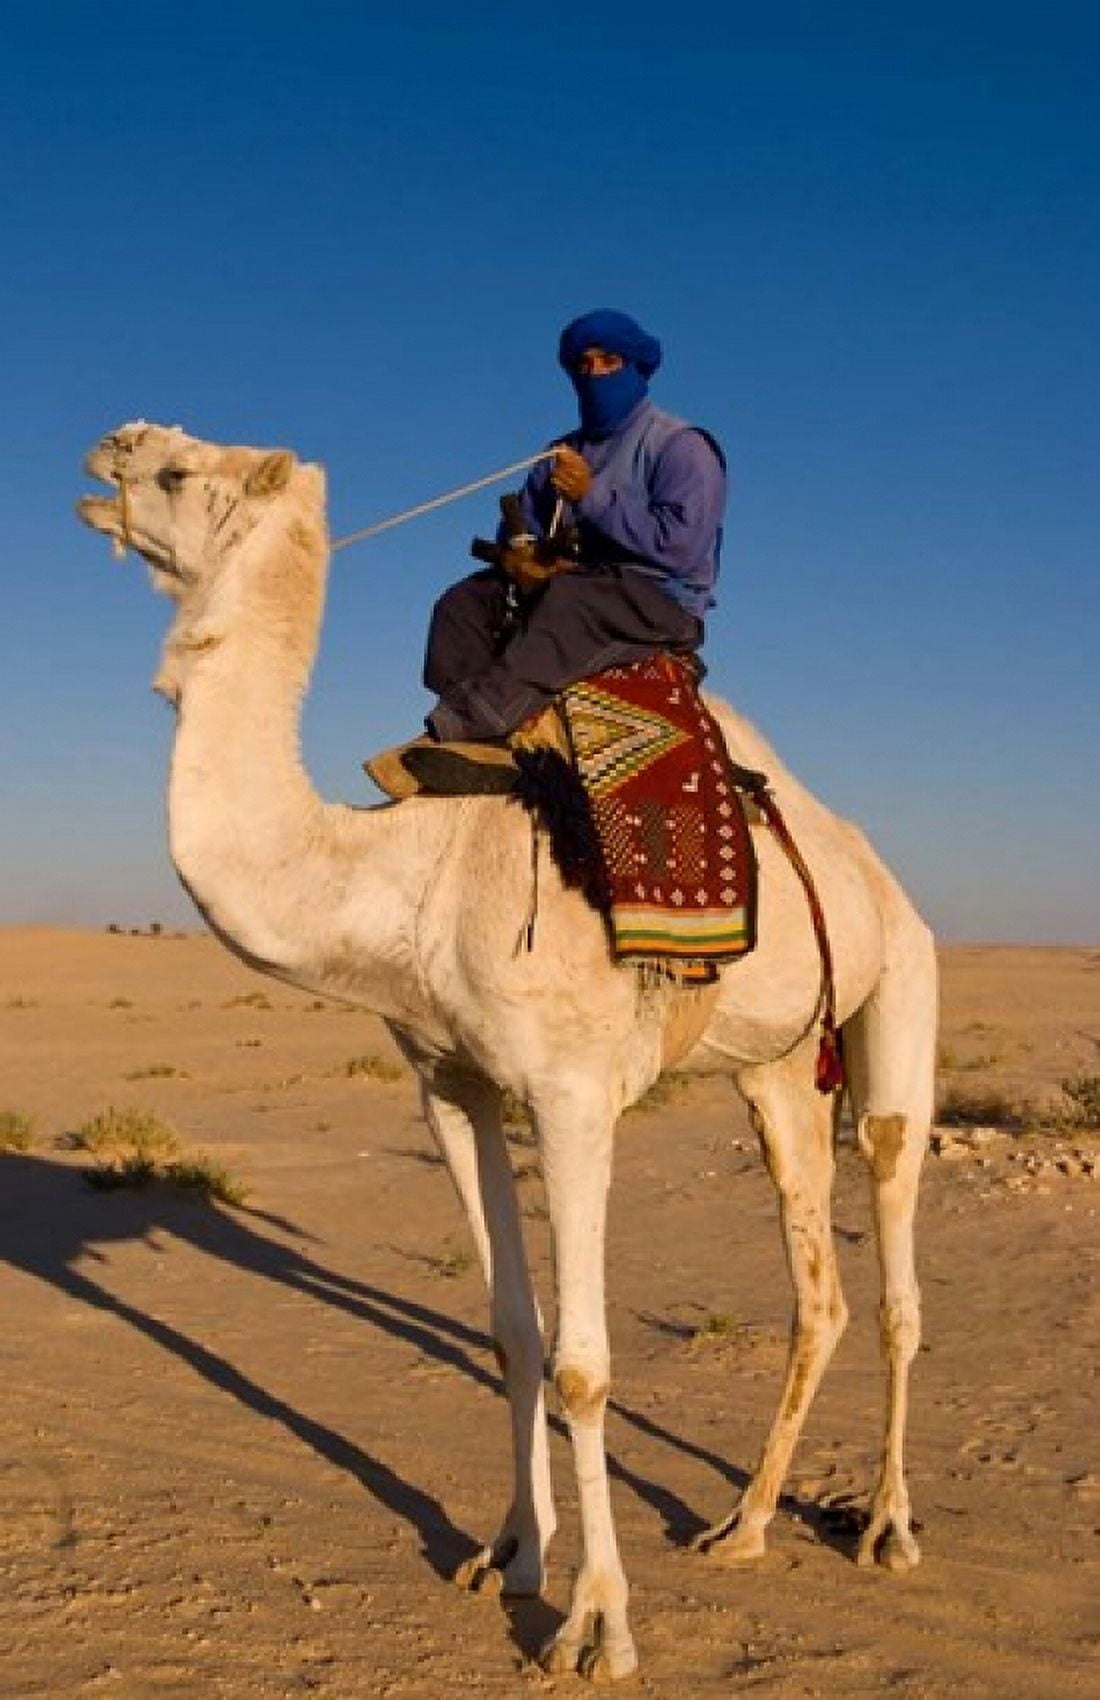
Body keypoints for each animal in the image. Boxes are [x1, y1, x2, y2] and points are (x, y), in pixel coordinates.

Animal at [78, 422, 938, 1683]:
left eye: (183, 471)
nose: (106, 450)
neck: (409, 870)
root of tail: (878, 872)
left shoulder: (570, 1090)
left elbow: (584, 1361)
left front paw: (595, 1624)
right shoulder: (451, 1083)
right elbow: (511, 1330)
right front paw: (509, 1555)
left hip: (901, 993)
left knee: (889, 1253)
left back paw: (882, 1523)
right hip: (773, 1069)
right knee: (814, 1286)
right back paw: (740, 1524)